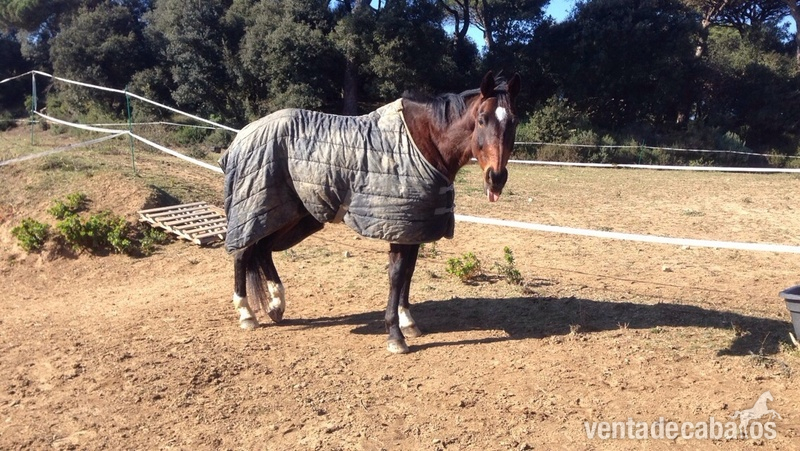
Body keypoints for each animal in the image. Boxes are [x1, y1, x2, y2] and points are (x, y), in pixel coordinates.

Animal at [219, 71, 521, 354]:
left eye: (513, 121)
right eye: (481, 119)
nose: (496, 178)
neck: (423, 142)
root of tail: (243, 134)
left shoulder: (413, 226)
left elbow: (408, 274)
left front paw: (408, 322)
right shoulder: (398, 226)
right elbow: (397, 275)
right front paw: (395, 335)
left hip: (291, 214)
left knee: (263, 250)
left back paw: (276, 305)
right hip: (257, 209)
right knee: (243, 252)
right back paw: (246, 314)